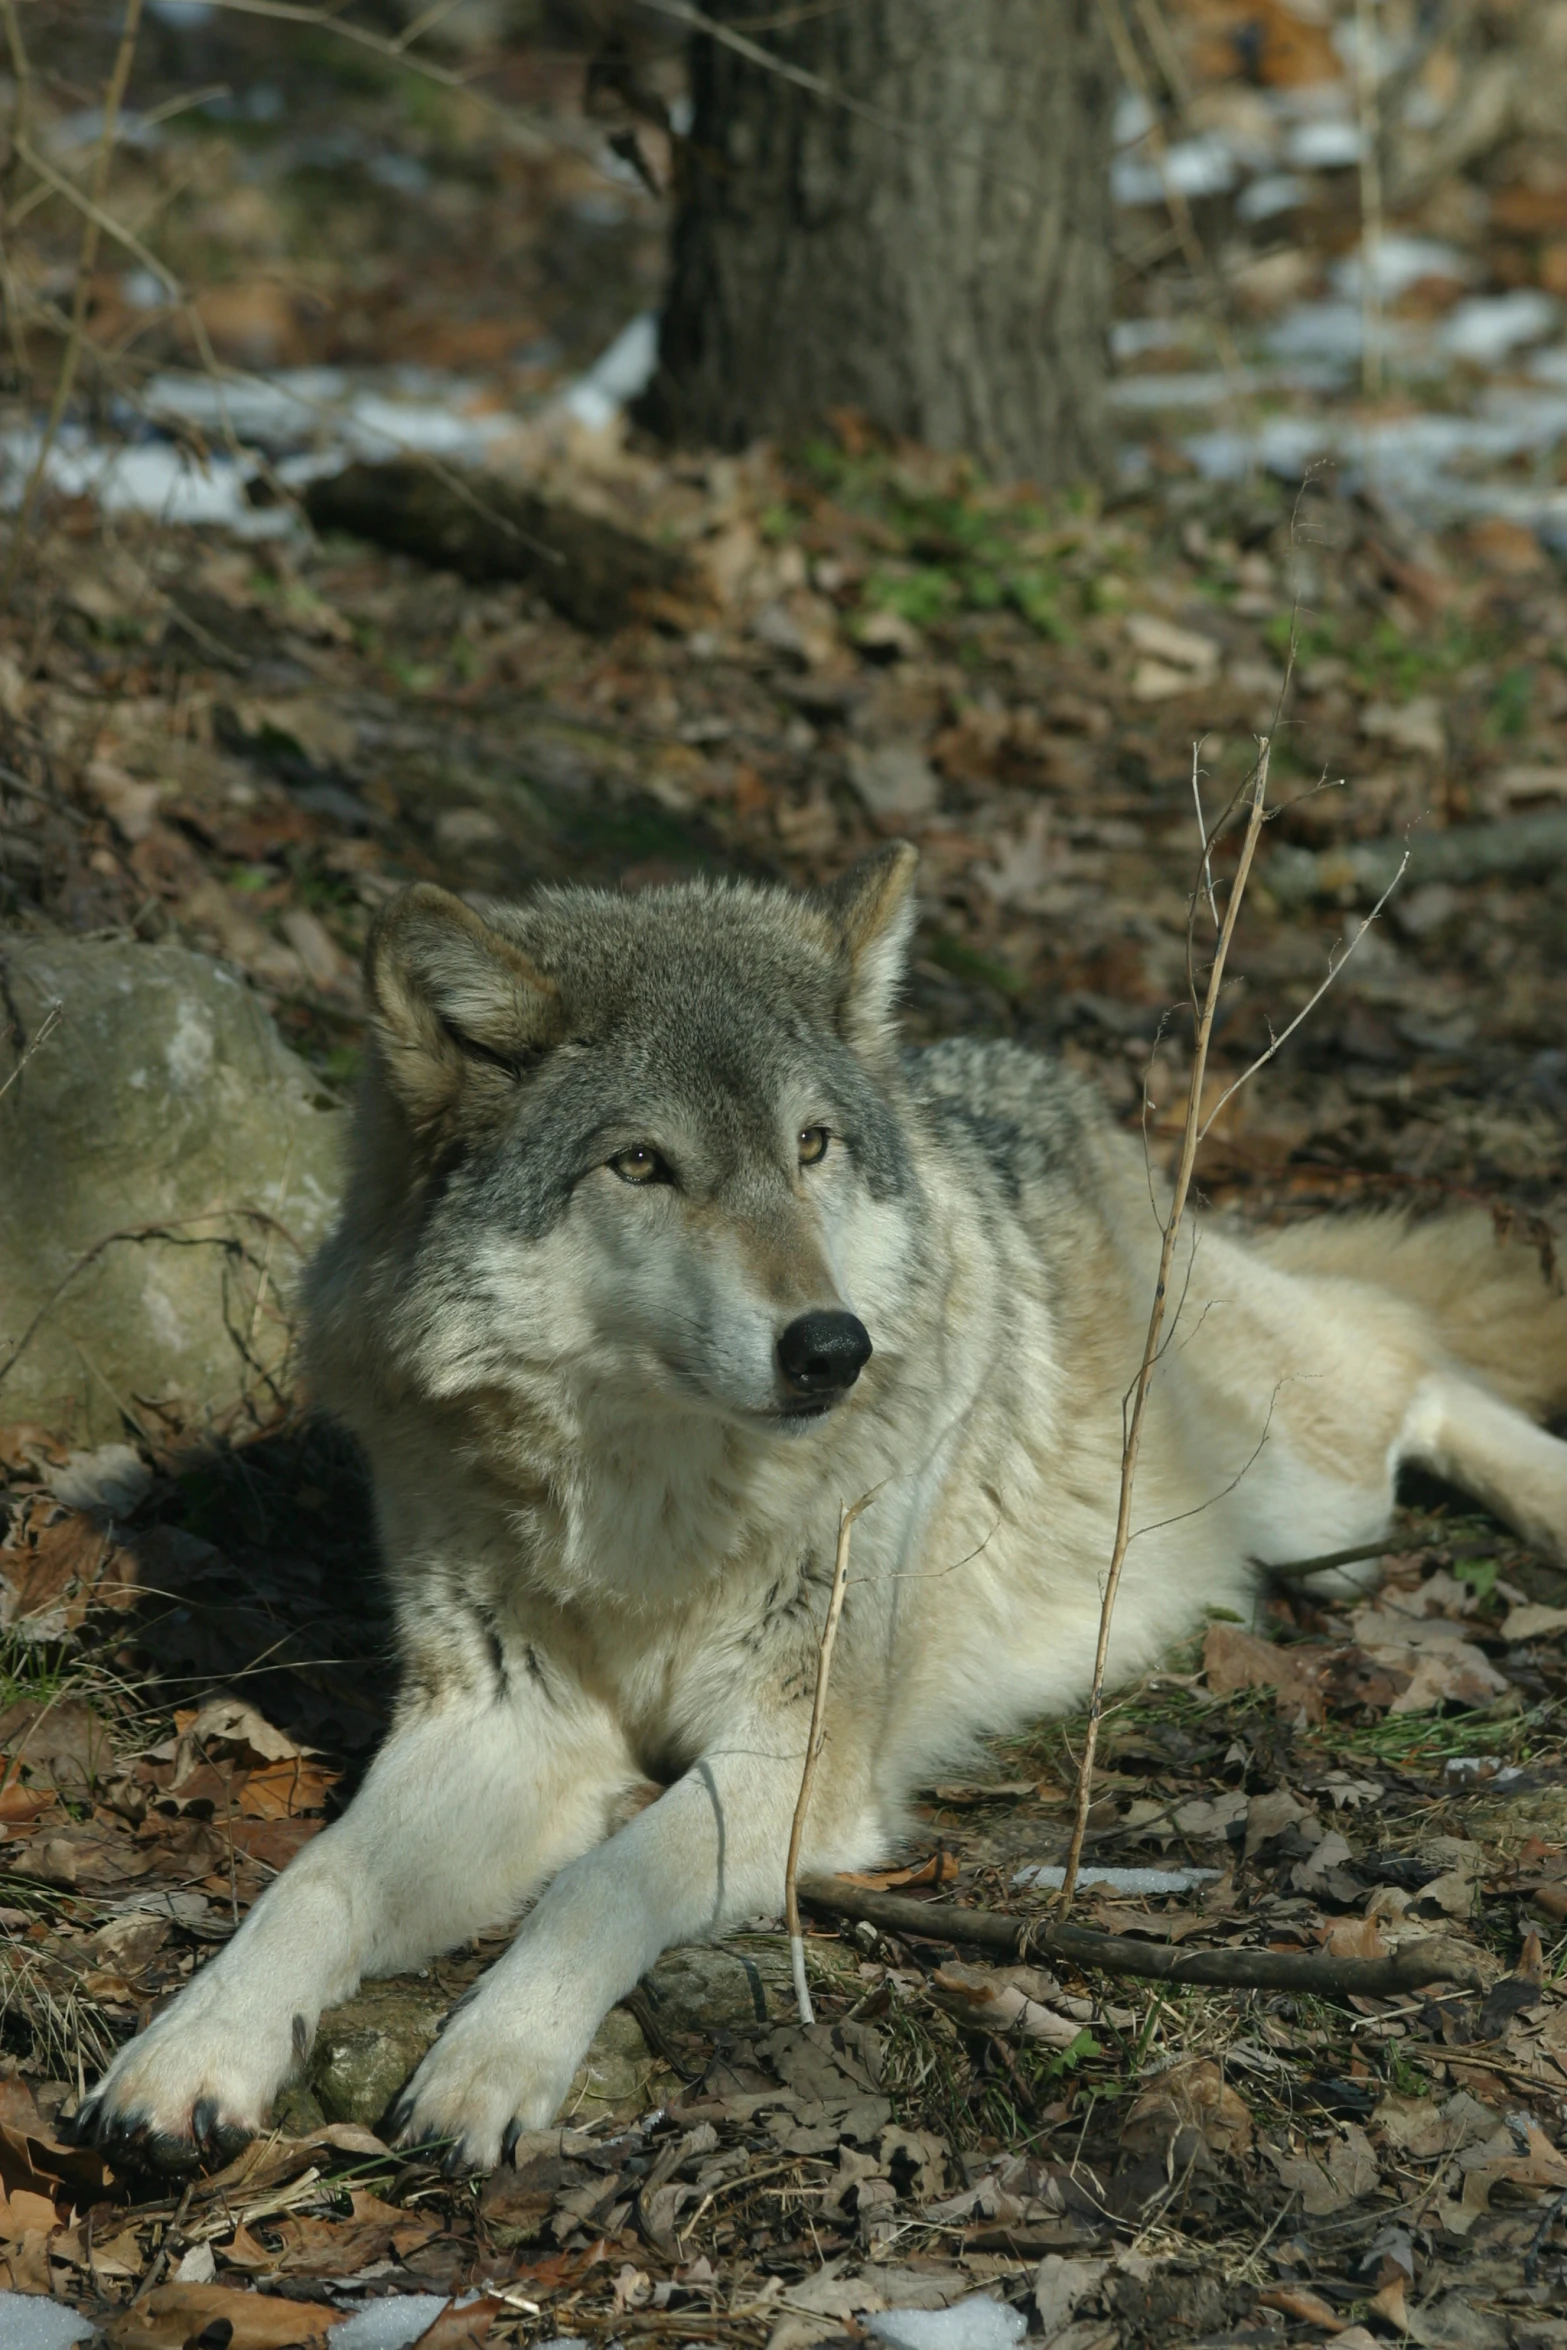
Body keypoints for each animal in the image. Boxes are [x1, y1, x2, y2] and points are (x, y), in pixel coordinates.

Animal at [76, 841, 1567, 2162]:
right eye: (641, 1164)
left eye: (810, 1146)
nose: (830, 1346)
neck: (652, 1503)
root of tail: (1021, 1071)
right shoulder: (498, 1726)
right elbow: (315, 1881)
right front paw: (188, 2052)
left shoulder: (795, 1758)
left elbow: (600, 1881)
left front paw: (490, 2060)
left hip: (1296, 1477)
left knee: (1410, 1346)